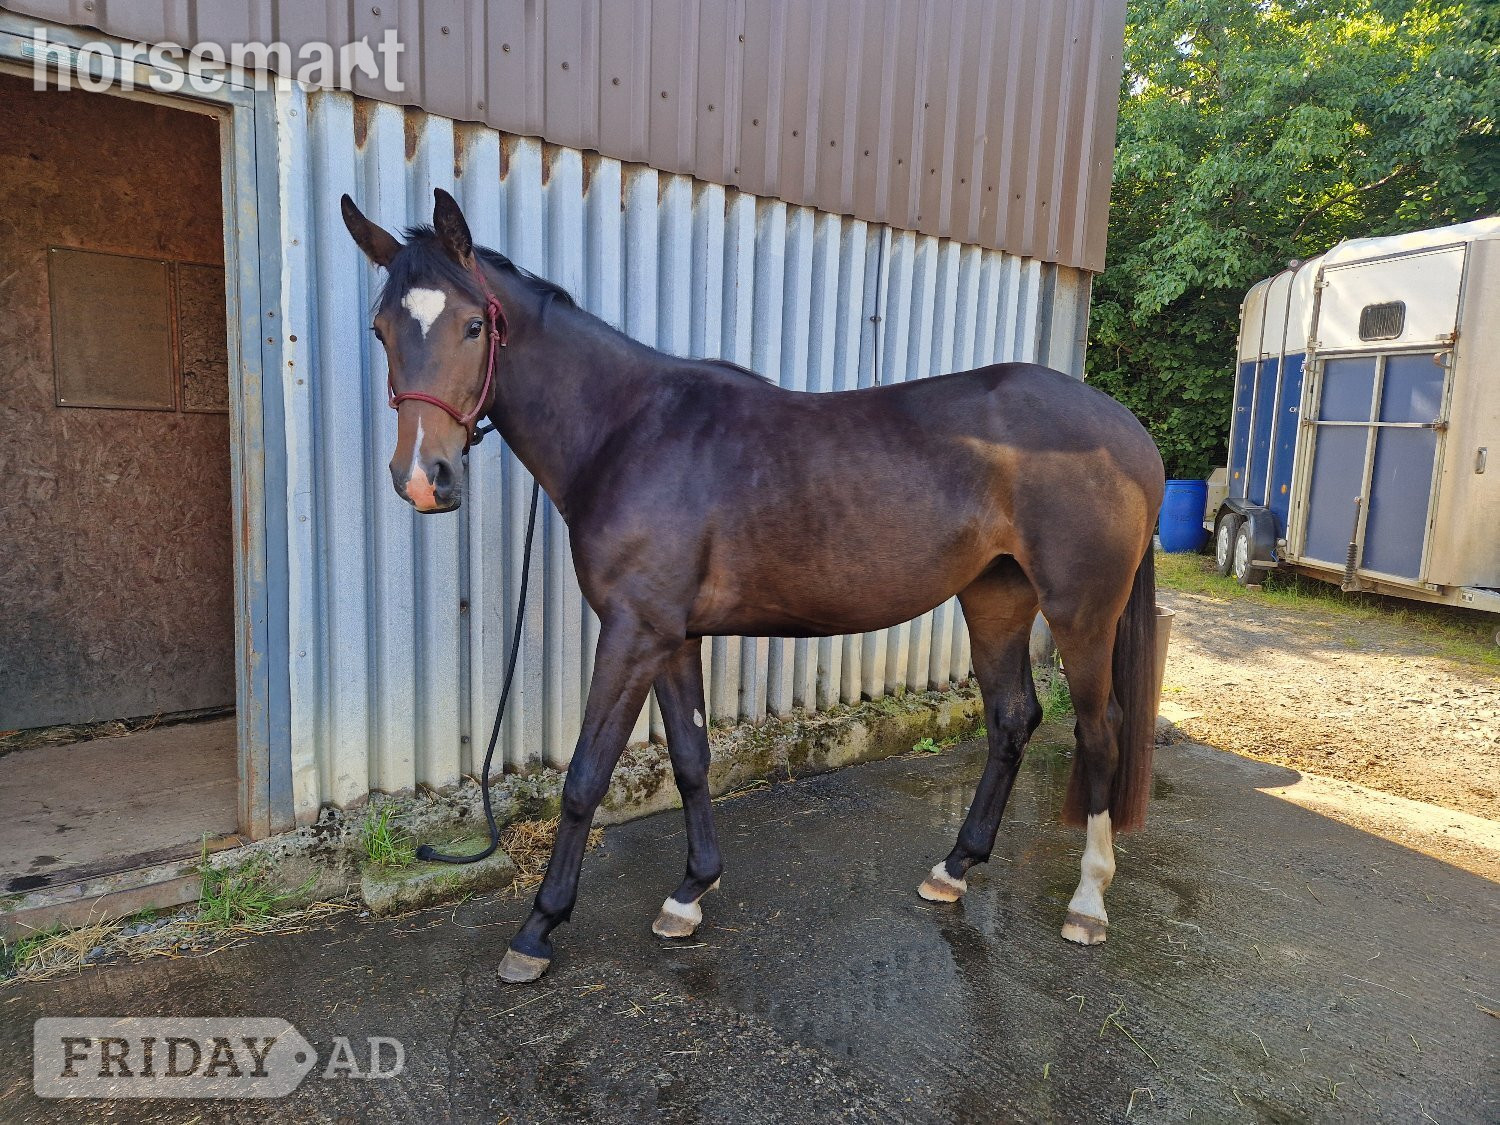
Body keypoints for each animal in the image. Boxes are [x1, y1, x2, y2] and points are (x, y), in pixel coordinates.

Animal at [341, 189, 1165, 984]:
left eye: (474, 325)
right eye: (381, 330)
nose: (423, 479)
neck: (628, 431)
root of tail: (1129, 431)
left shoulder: (633, 633)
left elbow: (585, 777)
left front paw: (538, 929)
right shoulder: (672, 637)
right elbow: (690, 759)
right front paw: (689, 894)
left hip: (1081, 612)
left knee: (1101, 729)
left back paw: (1088, 901)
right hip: (995, 597)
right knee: (1012, 719)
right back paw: (954, 868)